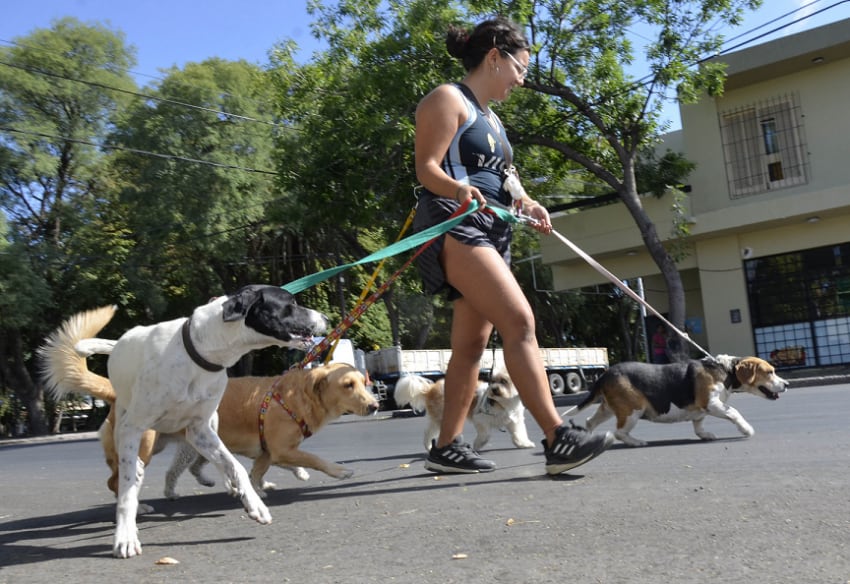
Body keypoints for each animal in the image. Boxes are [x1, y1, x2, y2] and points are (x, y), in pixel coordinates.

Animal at [394, 370, 532, 452]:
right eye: (493, 381)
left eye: (504, 381)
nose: (494, 389)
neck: (502, 403)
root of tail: (431, 388)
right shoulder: (480, 419)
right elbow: (485, 435)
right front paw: (478, 445)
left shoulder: (515, 421)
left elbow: (518, 434)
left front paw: (523, 444)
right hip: (441, 417)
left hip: (437, 418)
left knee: (429, 432)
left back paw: (428, 446)